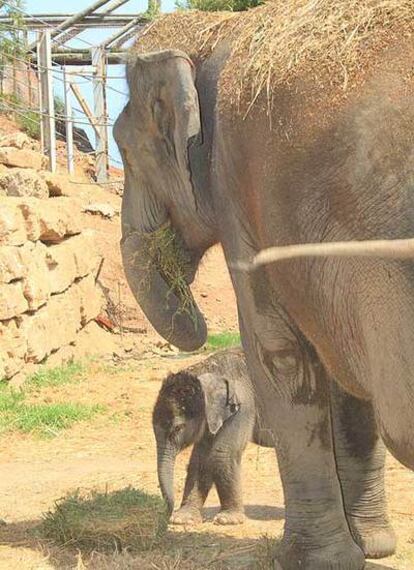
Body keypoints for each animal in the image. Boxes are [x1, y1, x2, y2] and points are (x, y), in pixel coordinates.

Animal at [152, 344, 272, 520]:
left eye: (178, 428)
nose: (168, 515)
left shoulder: (242, 408)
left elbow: (222, 454)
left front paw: (227, 520)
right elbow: (199, 457)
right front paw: (183, 519)